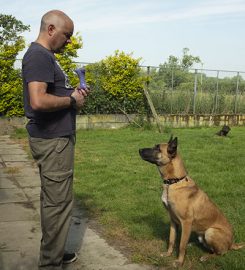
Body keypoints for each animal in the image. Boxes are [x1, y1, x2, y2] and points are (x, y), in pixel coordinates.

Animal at [139, 136, 242, 266]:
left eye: (157, 148)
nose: (139, 150)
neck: (174, 182)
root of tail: (232, 243)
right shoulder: (173, 221)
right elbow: (171, 240)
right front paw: (168, 254)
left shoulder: (186, 222)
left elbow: (181, 245)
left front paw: (179, 262)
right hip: (202, 235)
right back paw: (193, 244)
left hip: (210, 232)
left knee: (221, 253)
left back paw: (206, 257)